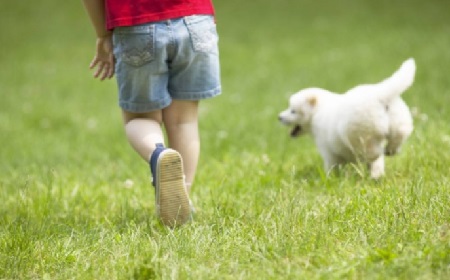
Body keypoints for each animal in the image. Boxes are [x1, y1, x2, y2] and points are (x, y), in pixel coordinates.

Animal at [280, 58, 416, 178]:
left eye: (293, 111)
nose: (279, 117)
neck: (317, 112)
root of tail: (379, 95)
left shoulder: (328, 151)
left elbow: (332, 166)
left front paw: (331, 178)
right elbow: (376, 165)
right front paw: (376, 175)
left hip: (360, 132)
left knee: (372, 151)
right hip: (398, 120)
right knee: (400, 134)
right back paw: (391, 150)